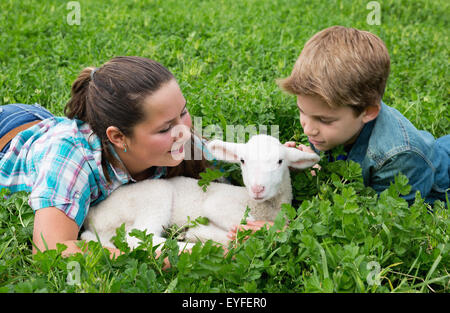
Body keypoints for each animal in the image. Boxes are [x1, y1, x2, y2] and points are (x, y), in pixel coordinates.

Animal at [81, 133, 320, 249]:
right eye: (243, 161)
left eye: (280, 161)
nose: (257, 188)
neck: (259, 206)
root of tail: (93, 214)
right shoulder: (218, 203)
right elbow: (239, 224)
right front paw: (206, 233)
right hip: (156, 194)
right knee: (137, 238)